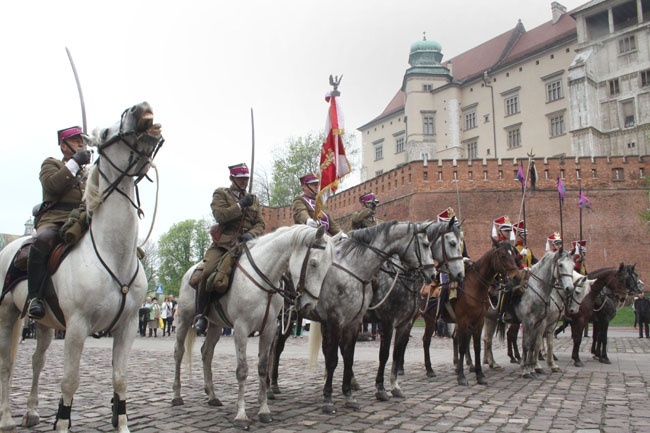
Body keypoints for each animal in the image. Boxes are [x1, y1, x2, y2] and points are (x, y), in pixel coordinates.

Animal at [0, 102, 161, 432]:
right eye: (107, 133)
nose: (141, 108)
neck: (114, 255)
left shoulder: (127, 327)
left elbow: (120, 379)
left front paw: (122, 424)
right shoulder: (76, 327)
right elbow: (70, 381)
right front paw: (62, 423)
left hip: (45, 323)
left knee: (37, 361)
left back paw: (31, 411)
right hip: (8, 313)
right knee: (7, 363)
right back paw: (7, 416)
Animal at [171, 224, 334, 426]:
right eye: (313, 263)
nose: (309, 305)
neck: (265, 281)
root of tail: (190, 271)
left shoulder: (269, 330)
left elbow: (263, 368)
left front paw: (264, 410)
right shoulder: (241, 329)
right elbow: (242, 370)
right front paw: (241, 415)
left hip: (216, 325)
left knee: (206, 353)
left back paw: (212, 396)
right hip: (184, 319)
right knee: (179, 352)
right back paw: (177, 396)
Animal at [420, 240, 520, 384]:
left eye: (514, 255)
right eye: (502, 255)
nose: (517, 277)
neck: (474, 286)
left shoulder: (479, 321)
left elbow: (477, 346)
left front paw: (480, 375)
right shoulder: (463, 321)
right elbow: (462, 346)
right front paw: (461, 377)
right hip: (430, 320)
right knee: (426, 340)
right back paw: (428, 370)